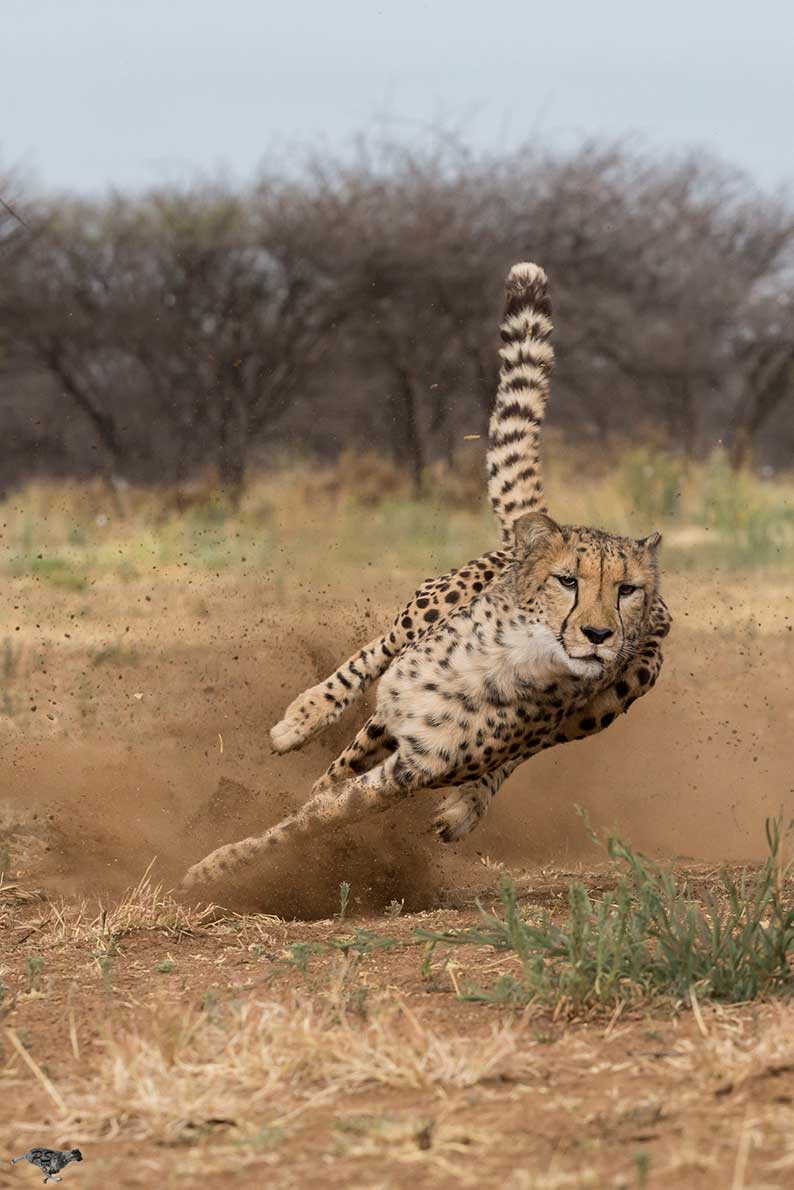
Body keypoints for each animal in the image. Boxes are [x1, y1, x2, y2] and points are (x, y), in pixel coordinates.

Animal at [181, 262, 670, 890]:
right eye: (568, 582)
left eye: (626, 591)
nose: (599, 635)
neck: (509, 659)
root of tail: (545, 527)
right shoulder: (395, 712)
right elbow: (327, 782)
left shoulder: (413, 767)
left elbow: (319, 815)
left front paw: (225, 865)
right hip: (428, 612)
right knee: (371, 656)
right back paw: (301, 719)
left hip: (604, 705)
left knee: (521, 754)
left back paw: (465, 808)